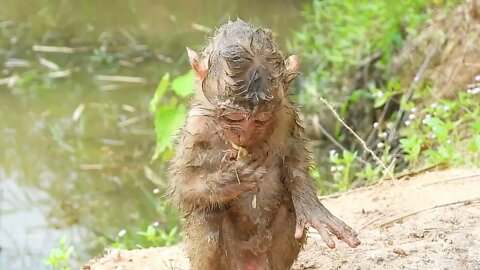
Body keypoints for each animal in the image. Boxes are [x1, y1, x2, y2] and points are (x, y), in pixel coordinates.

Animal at [167, 19, 358, 270]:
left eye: (260, 120)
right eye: (233, 118)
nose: (244, 136)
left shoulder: (285, 114)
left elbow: (294, 160)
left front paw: (311, 208)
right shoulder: (196, 127)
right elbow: (184, 185)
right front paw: (232, 178)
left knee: (288, 207)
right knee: (208, 215)